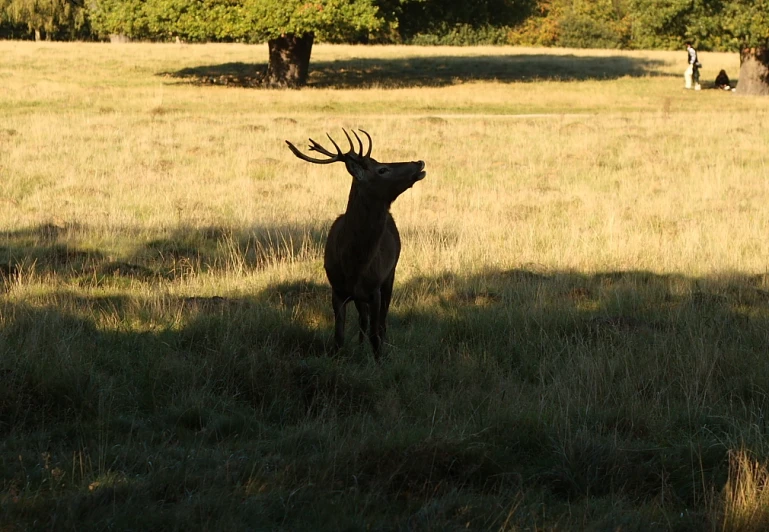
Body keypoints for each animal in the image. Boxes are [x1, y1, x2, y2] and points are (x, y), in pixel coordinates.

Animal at [284, 130, 426, 362]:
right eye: (382, 169)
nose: (419, 162)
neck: (354, 264)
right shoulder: (337, 290)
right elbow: (339, 336)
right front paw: (337, 360)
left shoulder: (375, 288)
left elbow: (375, 335)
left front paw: (378, 362)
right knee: (363, 320)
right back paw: (359, 347)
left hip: (390, 274)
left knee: (381, 323)